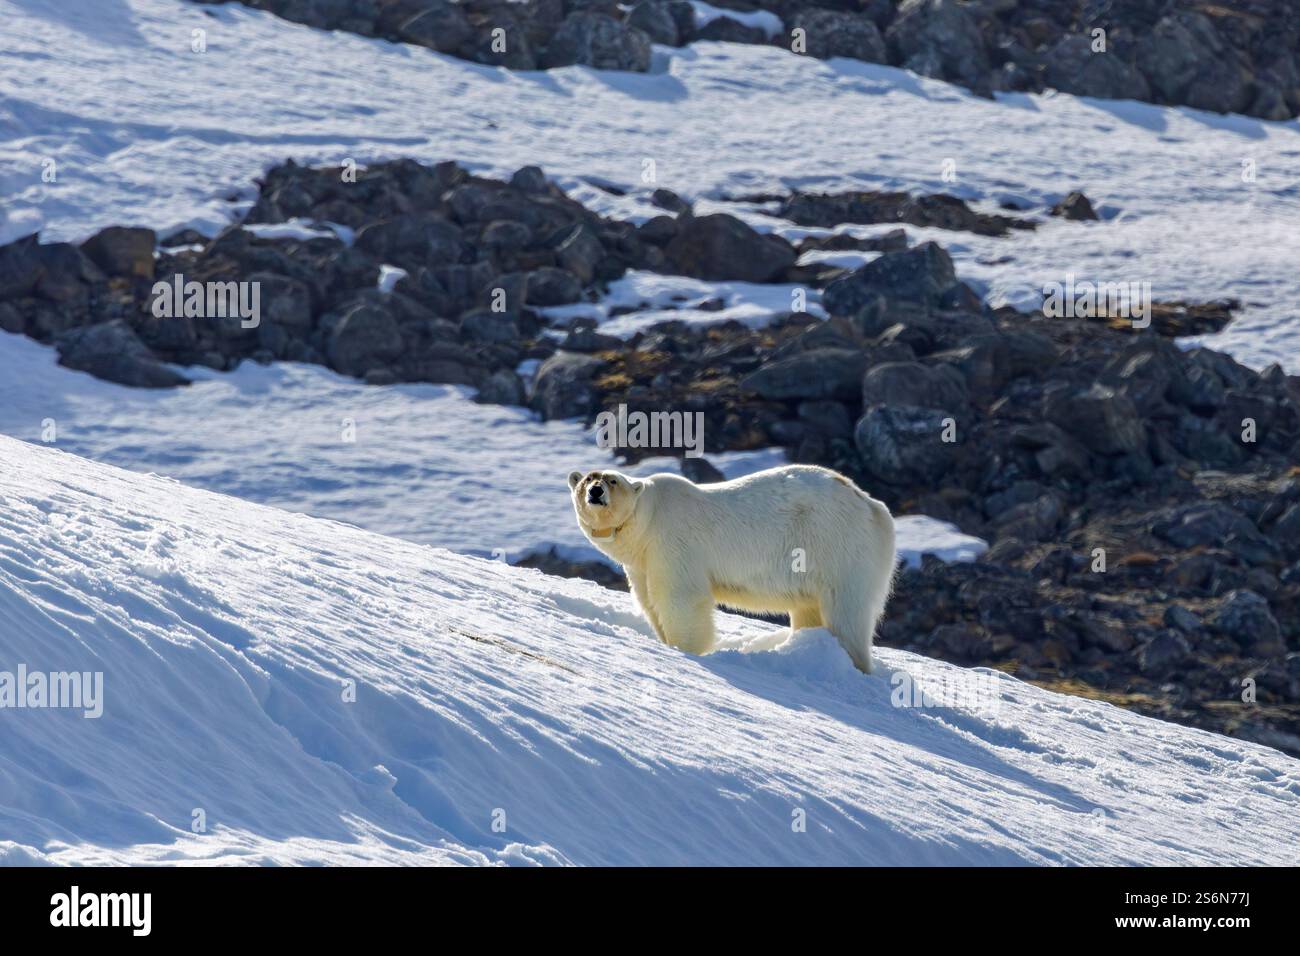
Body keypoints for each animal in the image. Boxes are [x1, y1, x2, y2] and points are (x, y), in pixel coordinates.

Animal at [568, 464, 897, 673]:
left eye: (612, 480)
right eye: (586, 479)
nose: (595, 491)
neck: (649, 517)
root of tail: (873, 506)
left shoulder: (672, 540)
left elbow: (680, 597)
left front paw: (685, 649)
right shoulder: (642, 561)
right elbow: (649, 601)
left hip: (837, 545)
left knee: (846, 610)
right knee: (809, 608)